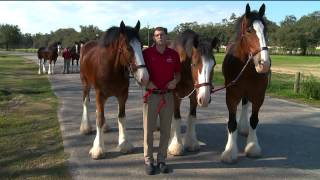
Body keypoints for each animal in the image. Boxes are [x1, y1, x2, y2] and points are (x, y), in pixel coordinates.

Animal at [80, 20, 150, 160]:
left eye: (141, 46)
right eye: (128, 47)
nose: (144, 77)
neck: (111, 69)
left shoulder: (123, 95)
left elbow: (121, 117)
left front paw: (124, 144)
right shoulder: (100, 94)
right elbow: (99, 119)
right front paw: (98, 149)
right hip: (86, 84)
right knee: (85, 102)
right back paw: (85, 127)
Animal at [221, 3, 272, 163]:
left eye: (265, 30)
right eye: (249, 30)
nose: (264, 64)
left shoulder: (259, 95)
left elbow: (254, 120)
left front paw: (253, 147)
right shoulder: (231, 95)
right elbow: (232, 123)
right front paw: (230, 152)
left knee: (245, 104)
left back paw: (244, 128)